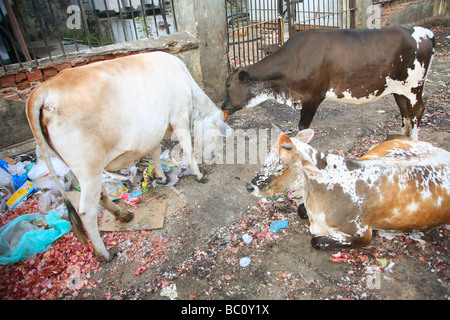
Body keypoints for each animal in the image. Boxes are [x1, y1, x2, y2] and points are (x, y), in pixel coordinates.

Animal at [26, 51, 230, 262]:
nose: (213, 155)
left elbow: (155, 151)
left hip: (81, 169)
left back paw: (122, 214)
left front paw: (161, 177)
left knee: (100, 196)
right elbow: (187, 149)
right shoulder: (179, 117)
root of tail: (45, 87)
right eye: (216, 136)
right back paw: (104, 253)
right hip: (89, 167)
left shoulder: (155, 129)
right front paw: (198, 174)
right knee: (86, 212)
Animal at [221, 25, 436, 139]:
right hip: (399, 88)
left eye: (228, 85)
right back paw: (402, 139)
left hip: (415, 86)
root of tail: (425, 32)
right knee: (405, 111)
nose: (223, 105)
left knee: (417, 110)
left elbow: (303, 126)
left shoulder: (313, 97)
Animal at [246, 129, 450, 249]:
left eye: (282, 166)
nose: (250, 186)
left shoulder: (363, 235)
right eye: (267, 155)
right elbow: (301, 210)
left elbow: (316, 240)